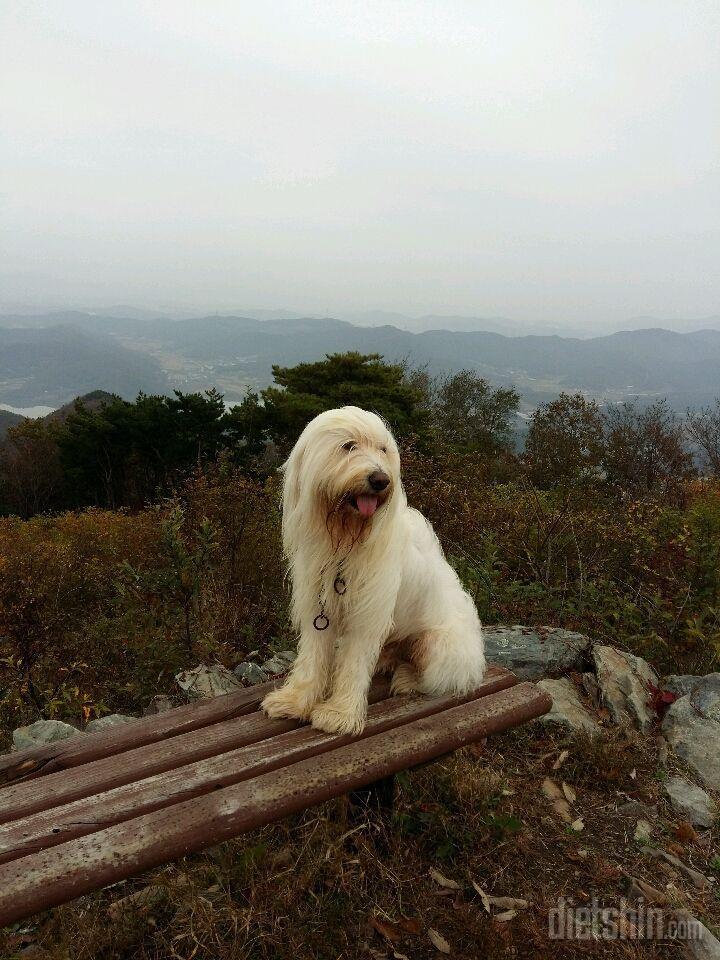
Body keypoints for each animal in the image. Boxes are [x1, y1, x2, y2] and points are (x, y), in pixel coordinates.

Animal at [258, 406, 484, 736]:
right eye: (349, 446)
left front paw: (339, 714)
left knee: (438, 678)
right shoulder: (318, 608)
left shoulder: (366, 612)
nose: (380, 479)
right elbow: (312, 656)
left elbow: (354, 662)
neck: (345, 542)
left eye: (383, 449)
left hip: (438, 645)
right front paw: (295, 700)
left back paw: (406, 678)